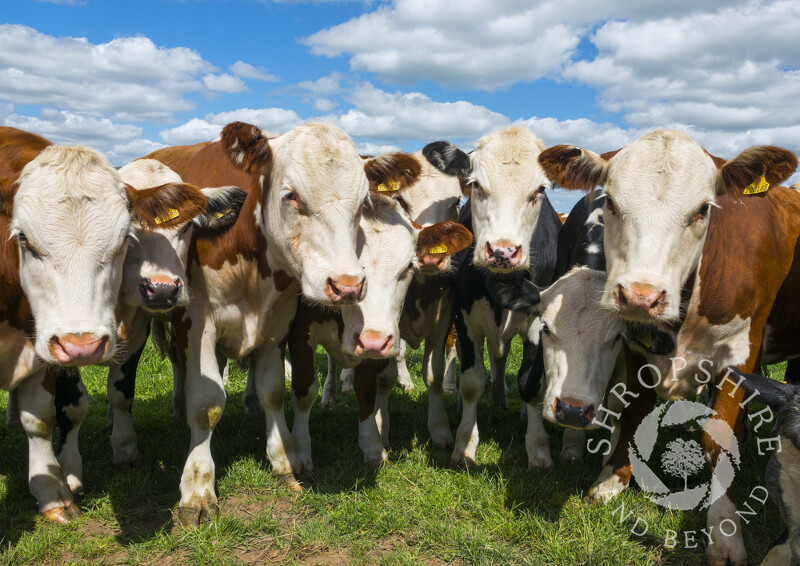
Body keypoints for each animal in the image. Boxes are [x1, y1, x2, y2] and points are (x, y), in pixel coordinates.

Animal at [0, 125, 198, 524]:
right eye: (23, 238)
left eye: (123, 239)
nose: (84, 346)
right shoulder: (55, 344)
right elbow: (71, 406)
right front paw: (68, 474)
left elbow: (109, 396)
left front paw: (120, 450)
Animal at [143, 122, 418, 524]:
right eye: (292, 197)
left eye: (362, 203)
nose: (347, 286)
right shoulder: (196, 324)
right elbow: (206, 404)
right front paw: (197, 488)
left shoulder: (277, 326)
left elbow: (273, 390)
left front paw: (283, 462)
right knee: (182, 369)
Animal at [288, 195, 472, 470]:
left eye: (408, 267)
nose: (372, 341)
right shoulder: (299, 331)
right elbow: (304, 390)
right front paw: (300, 454)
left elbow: (371, 388)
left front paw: (373, 445)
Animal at [418, 126, 564, 472]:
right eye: (475, 185)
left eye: (540, 190)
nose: (502, 251)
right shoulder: (464, 317)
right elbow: (472, 381)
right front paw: (464, 444)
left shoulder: (538, 321)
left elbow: (530, 383)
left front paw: (538, 448)